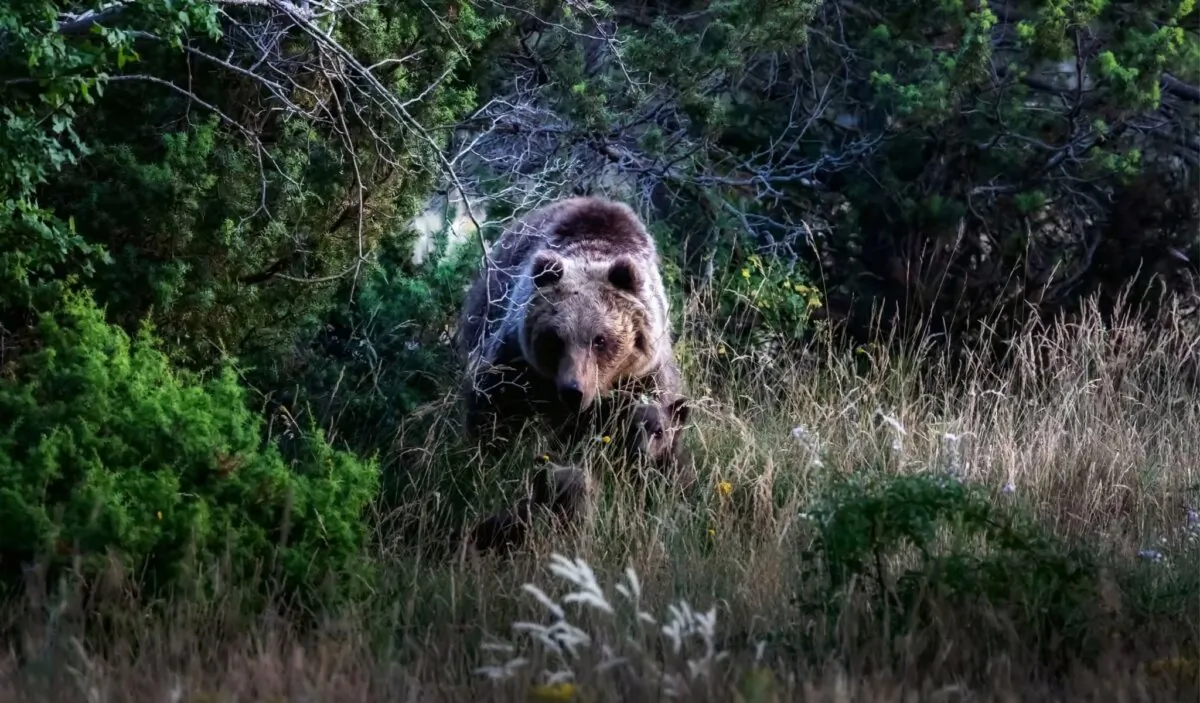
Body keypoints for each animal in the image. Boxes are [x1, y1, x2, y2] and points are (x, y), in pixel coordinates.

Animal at [457, 196, 681, 449]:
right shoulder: (516, 355)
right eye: (554, 338)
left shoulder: (643, 373)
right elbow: (493, 397)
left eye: (600, 340)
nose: (574, 391)